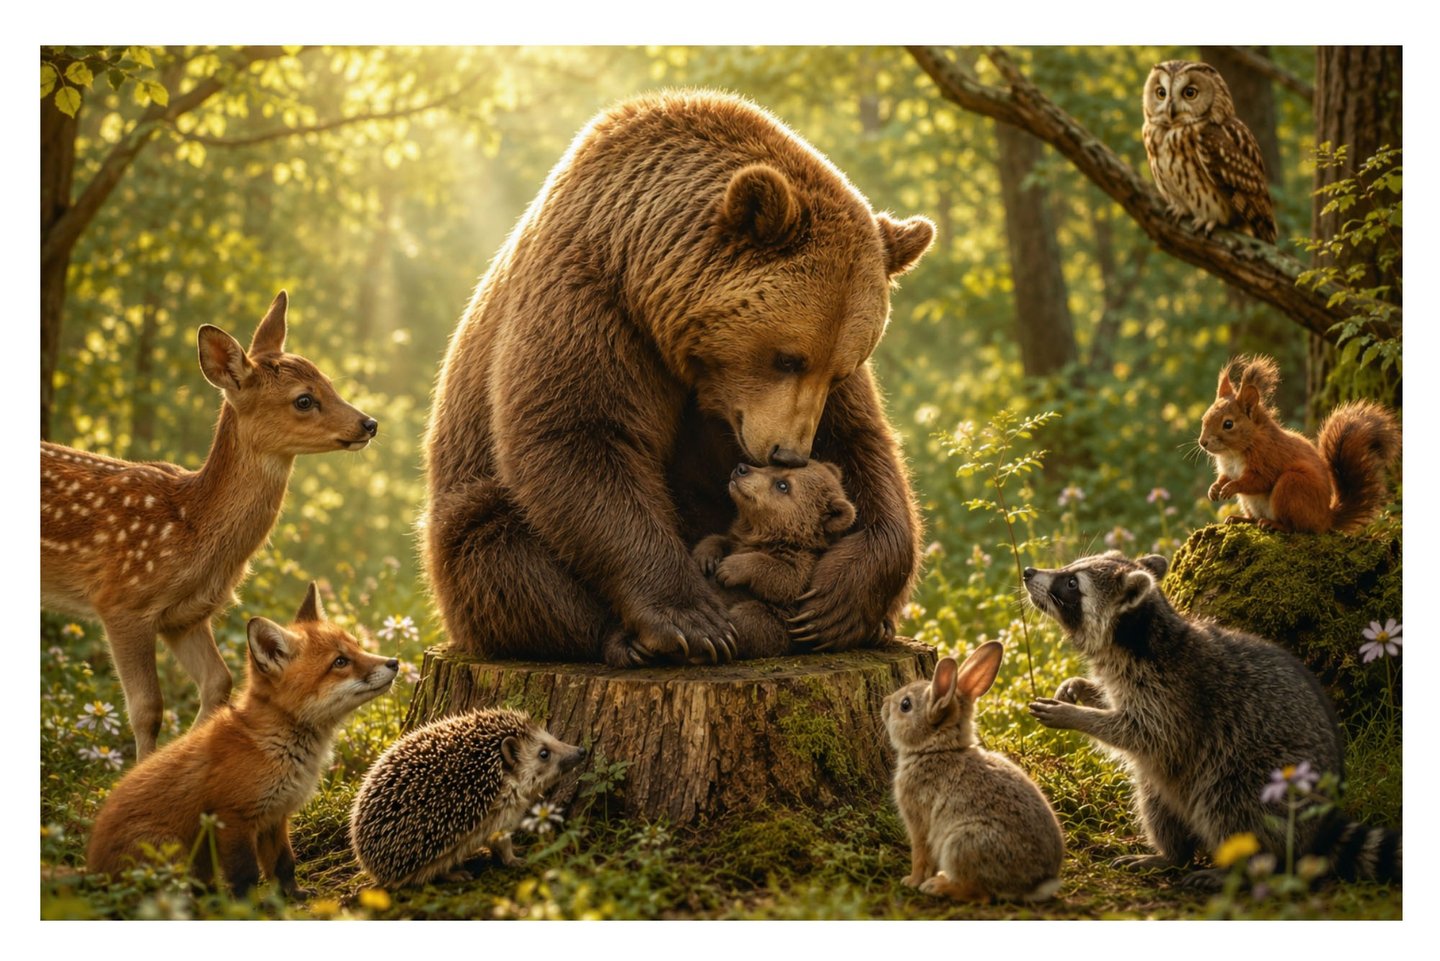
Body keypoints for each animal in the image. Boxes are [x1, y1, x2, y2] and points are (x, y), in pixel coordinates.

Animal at [673, 460, 857, 663]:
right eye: (772, 465)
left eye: (783, 485)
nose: (741, 469)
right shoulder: (736, 540)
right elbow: (718, 539)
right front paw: (705, 558)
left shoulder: (804, 565)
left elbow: (785, 579)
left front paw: (728, 569)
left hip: (777, 623)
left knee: (746, 621)